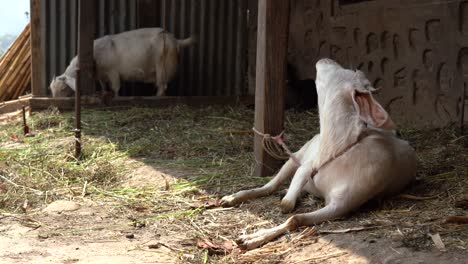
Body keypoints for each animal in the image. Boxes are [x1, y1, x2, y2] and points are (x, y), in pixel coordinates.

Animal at [47, 28, 194, 98]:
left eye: (62, 88)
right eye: (51, 89)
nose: (55, 101)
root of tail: (175, 40)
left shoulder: (113, 72)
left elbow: (116, 88)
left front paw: (116, 97)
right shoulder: (101, 74)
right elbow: (103, 86)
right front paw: (103, 93)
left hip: (162, 65)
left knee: (162, 86)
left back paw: (156, 97)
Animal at [221, 57, 414, 250]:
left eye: (352, 71)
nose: (326, 59)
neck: (335, 152)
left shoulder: (343, 204)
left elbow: (294, 217)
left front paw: (251, 238)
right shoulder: (308, 164)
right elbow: (290, 198)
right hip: (298, 154)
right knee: (269, 186)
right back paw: (231, 198)